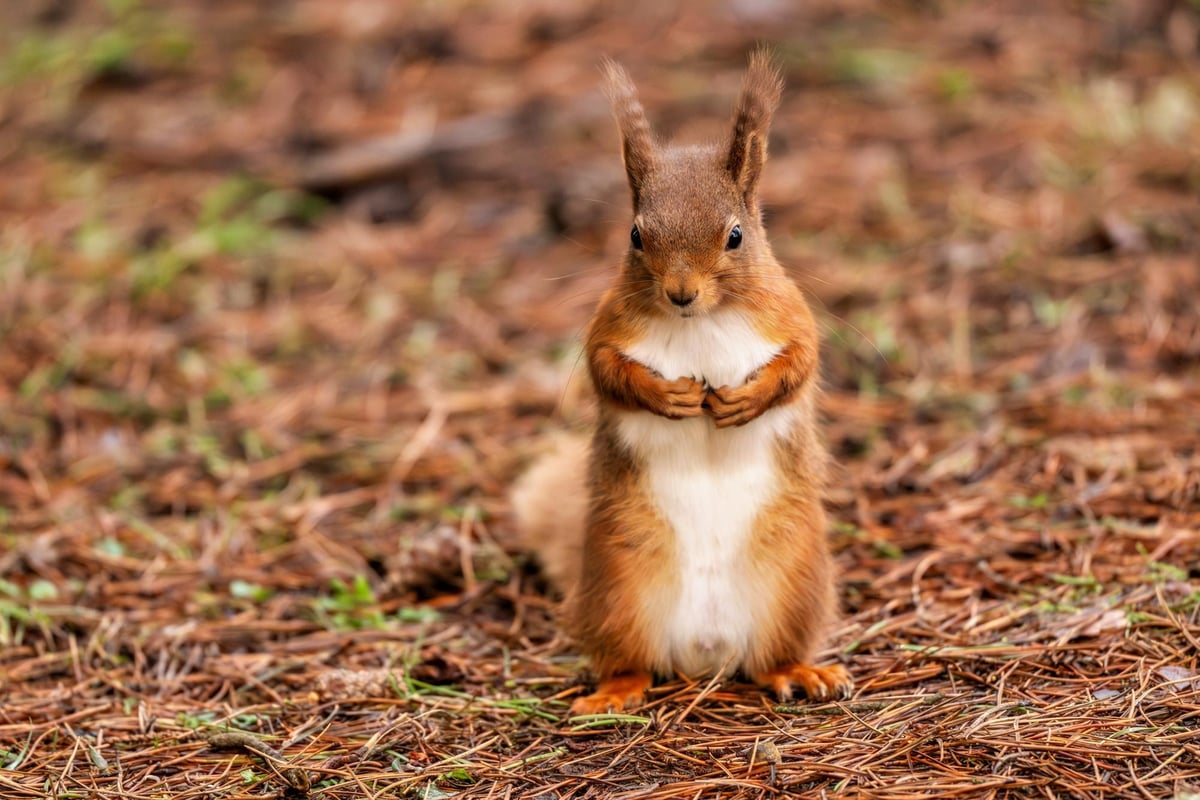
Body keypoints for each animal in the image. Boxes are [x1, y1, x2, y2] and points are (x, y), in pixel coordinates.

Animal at [512, 51, 852, 715]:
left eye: (736, 236)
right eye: (636, 236)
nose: (680, 293)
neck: (702, 321)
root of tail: (705, 652)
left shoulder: (791, 316)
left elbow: (801, 363)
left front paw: (745, 399)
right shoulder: (607, 328)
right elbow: (607, 372)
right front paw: (667, 396)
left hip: (796, 584)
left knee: (767, 660)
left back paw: (800, 672)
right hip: (619, 584)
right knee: (633, 664)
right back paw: (611, 695)